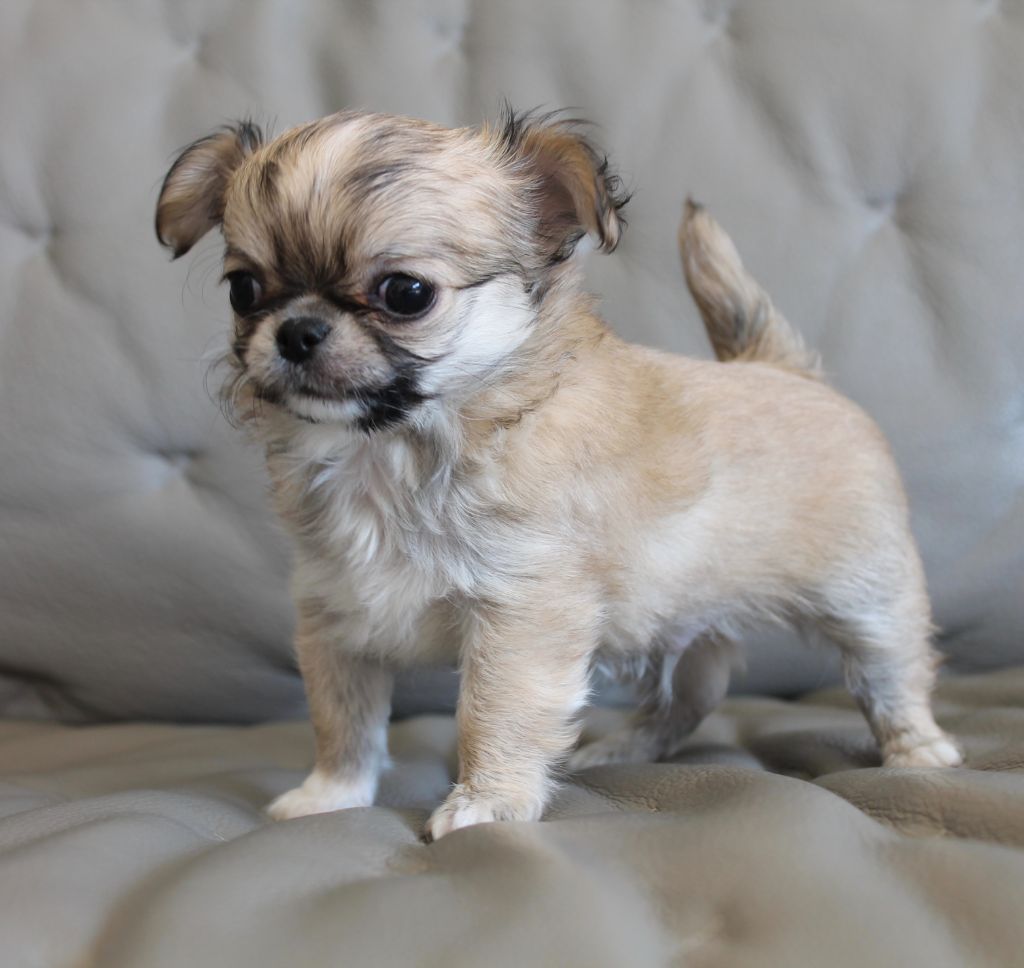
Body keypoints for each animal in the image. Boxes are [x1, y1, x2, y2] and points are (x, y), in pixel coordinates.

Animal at [156, 108, 961, 840]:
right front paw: (331, 796)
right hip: (672, 628)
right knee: (688, 697)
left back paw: (917, 751)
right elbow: (342, 722)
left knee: (894, 675)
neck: (391, 449)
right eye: (243, 290)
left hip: (866, 596)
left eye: (406, 293)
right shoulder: (335, 618)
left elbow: (493, 713)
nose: (296, 330)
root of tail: (779, 368)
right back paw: (622, 748)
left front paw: (487, 802)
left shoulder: (521, 613)